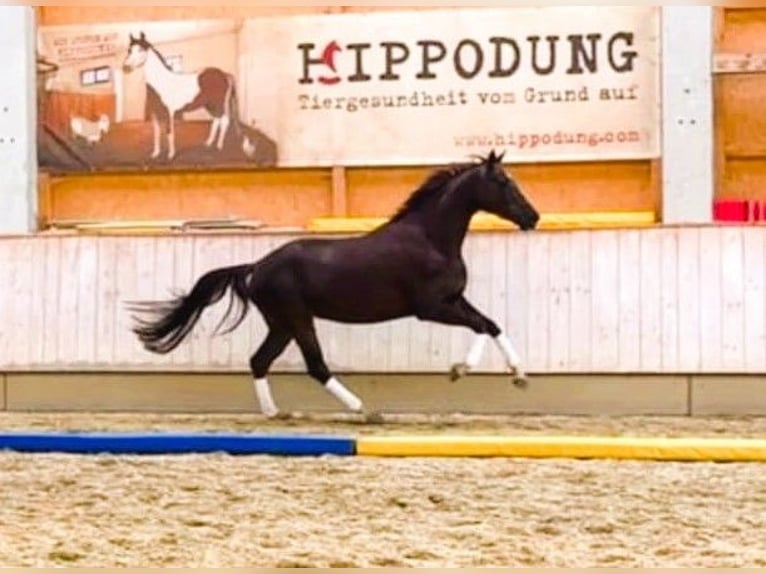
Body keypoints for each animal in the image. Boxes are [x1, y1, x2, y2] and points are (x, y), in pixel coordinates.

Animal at [121, 31, 250, 162]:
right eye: (129, 50)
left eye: (141, 49)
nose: (125, 67)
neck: (161, 82)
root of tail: (224, 74)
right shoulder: (155, 113)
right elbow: (156, 133)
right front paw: (155, 153)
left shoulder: (169, 112)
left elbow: (169, 132)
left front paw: (171, 155)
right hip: (210, 105)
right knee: (216, 120)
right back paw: (208, 143)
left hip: (218, 104)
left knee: (224, 121)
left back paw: (219, 146)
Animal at [129, 151, 544, 420]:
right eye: (504, 182)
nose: (533, 217)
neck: (431, 238)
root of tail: (255, 267)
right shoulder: (431, 308)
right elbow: (480, 327)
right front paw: (460, 370)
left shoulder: (454, 298)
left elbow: (491, 324)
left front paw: (520, 376)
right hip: (298, 319)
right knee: (315, 365)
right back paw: (364, 410)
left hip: (282, 324)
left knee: (260, 360)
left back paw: (276, 413)